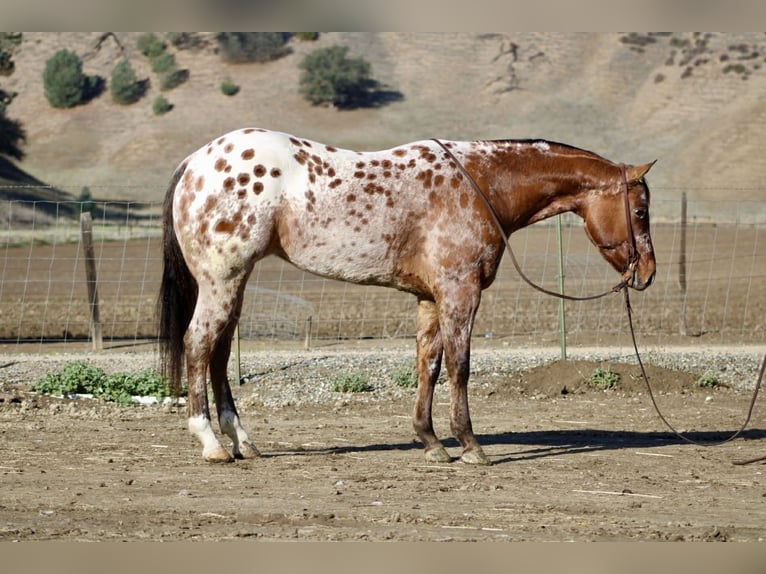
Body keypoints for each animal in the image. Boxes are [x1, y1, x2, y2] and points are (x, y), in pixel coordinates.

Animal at [158, 128, 656, 465]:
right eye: (640, 210)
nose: (648, 273)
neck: (481, 184)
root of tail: (196, 162)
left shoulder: (430, 298)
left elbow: (429, 365)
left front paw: (432, 442)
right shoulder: (459, 291)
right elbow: (459, 365)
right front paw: (470, 445)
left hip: (234, 282)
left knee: (220, 352)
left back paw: (243, 441)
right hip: (222, 279)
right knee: (199, 344)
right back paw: (211, 443)